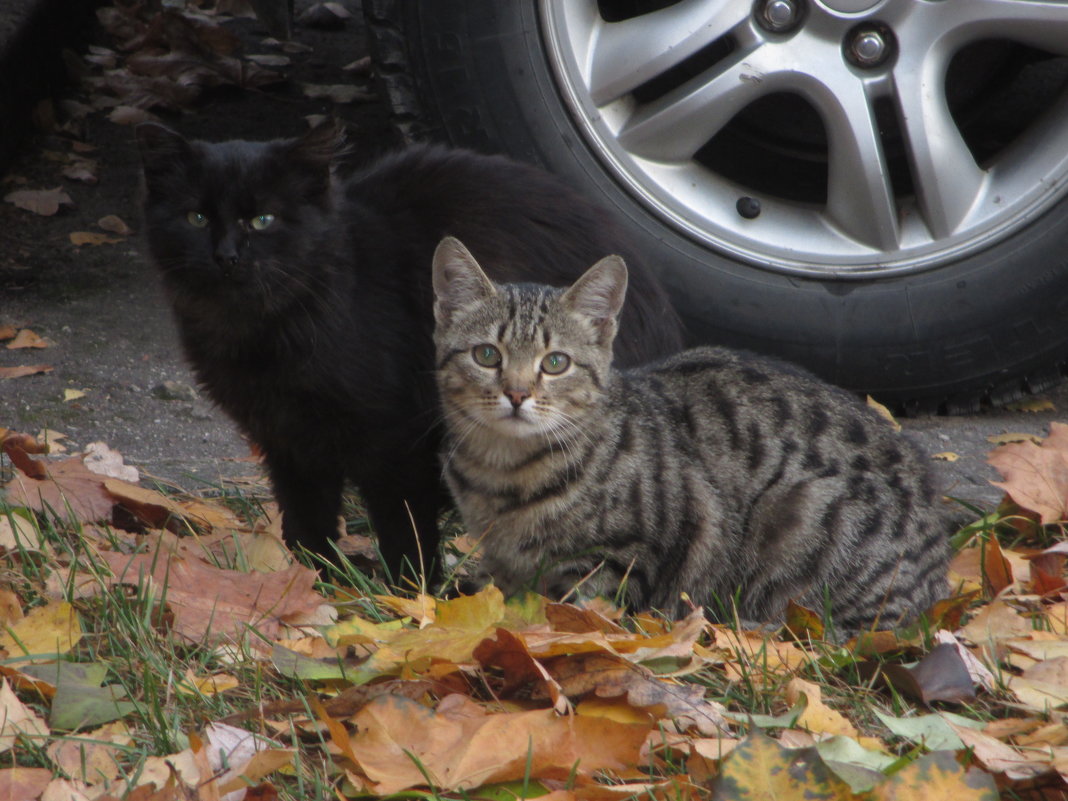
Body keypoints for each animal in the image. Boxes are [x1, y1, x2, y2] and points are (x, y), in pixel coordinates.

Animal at [135, 122, 683, 580]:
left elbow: (405, 529)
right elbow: (307, 523)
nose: (226, 255)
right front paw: (314, 585)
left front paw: (410, 596)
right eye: (196, 217)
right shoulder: (286, 443)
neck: (258, 330)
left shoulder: (393, 441)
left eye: (263, 219)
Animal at [433, 238, 952, 632]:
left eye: (556, 362)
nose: (517, 393)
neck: (505, 472)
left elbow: (582, 613)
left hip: (807, 522)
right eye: (486, 355)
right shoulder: (504, 562)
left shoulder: (622, 559)